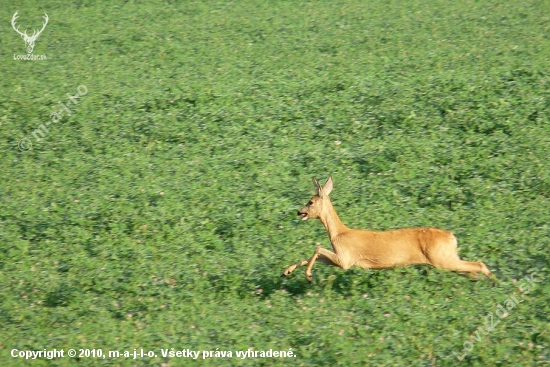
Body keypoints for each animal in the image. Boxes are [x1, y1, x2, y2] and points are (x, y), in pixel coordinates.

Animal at [282, 177, 494, 284]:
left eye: (310, 201)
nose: (299, 212)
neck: (339, 234)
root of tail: (452, 237)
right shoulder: (341, 258)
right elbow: (317, 254)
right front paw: (287, 271)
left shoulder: (346, 259)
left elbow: (317, 248)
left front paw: (308, 276)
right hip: (448, 258)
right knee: (471, 267)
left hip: (442, 259)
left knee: (479, 264)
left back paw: (494, 284)